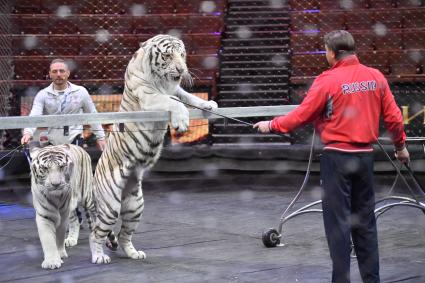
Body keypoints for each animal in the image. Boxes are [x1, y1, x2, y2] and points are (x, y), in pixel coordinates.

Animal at [88, 34, 217, 266]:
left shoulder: (176, 89)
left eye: (182, 54)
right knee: (95, 233)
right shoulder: (150, 94)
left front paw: (209, 104)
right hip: (110, 206)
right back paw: (99, 256)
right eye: (168, 55)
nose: (182, 69)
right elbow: (175, 103)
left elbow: (189, 97)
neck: (163, 81)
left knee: (124, 235)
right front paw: (182, 122)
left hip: (135, 206)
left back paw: (134, 254)